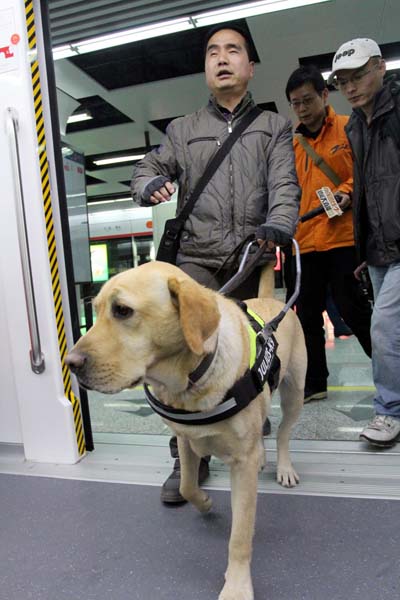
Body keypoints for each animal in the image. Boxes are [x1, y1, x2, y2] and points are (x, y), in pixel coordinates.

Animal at [65, 262, 304, 600]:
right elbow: (186, 486)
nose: (70, 363)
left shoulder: (241, 466)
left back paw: (284, 467)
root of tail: (271, 300)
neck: (191, 379)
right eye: (95, 310)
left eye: (122, 310)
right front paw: (204, 503)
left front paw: (237, 585)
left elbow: (240, 535)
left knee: (283, 432)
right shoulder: (186, 439)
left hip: (295, 391)